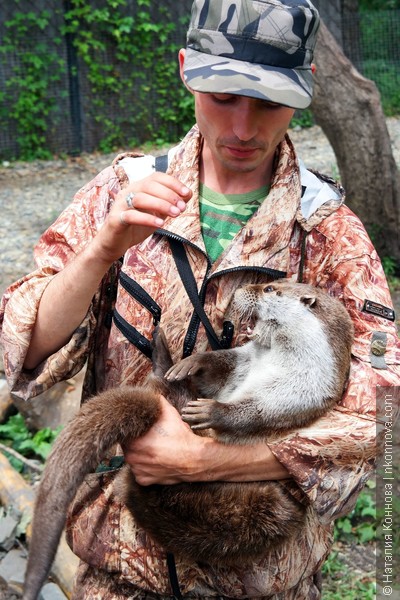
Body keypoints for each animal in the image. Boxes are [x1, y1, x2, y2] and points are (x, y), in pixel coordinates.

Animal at [22, 282, 354, 600]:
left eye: (270, 289)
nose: (242, 291)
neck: (275, 363)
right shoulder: (245, 359)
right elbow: (220, 364)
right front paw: (193, 362)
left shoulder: (300, 393)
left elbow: (253, 413)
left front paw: (212, 411)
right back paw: (163, 355)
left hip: (252, 508)